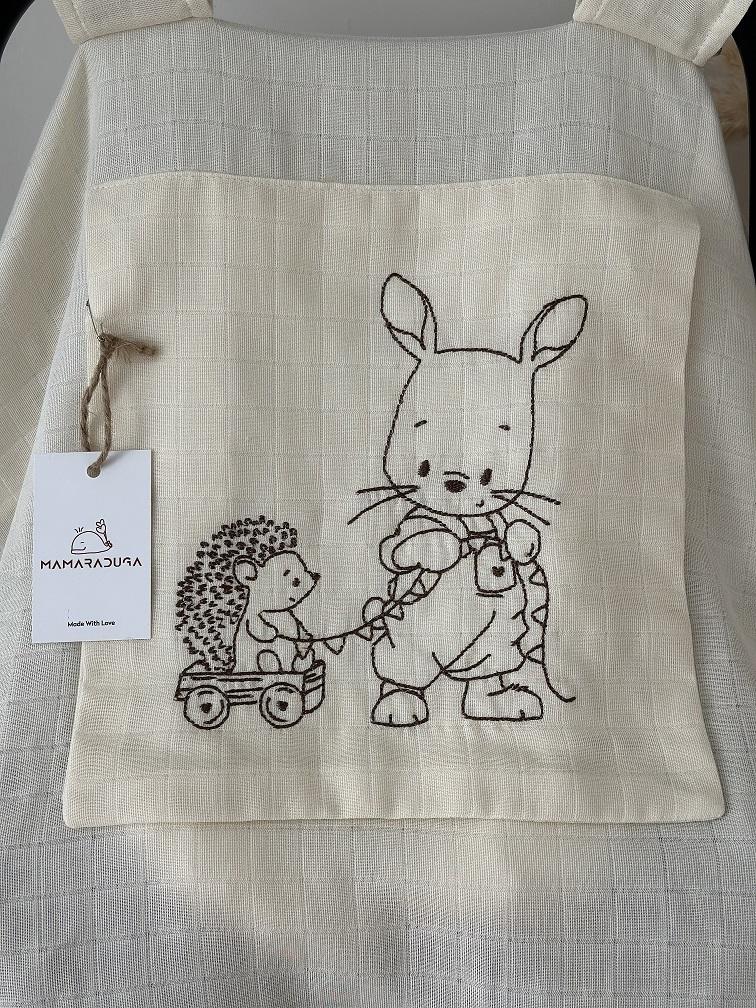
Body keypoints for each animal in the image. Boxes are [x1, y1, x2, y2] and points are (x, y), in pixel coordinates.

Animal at [367, 273, 587, 727]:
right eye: (419, 422)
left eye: (505, 429)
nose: (455, 480)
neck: (472, 525)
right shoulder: (413, 522)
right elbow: (398, 547)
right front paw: (441, 547)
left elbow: (519, 535)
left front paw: (521, 541)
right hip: (404, 642)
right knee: (401, 670)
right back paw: (400, 705)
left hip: (500, 644)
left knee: (486, 673)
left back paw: (500, 703)